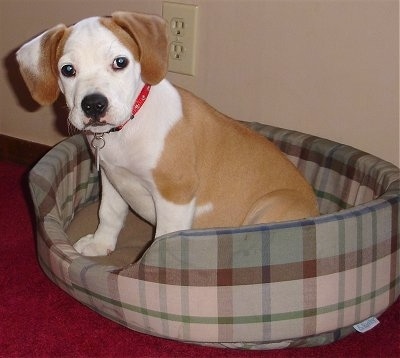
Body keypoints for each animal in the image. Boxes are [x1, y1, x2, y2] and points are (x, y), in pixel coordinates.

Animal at [16, 11, 318, 258]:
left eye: (120, 62)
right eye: (68, 70)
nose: (93, 104)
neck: (126, 130)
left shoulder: (176, 194)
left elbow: (164, 239)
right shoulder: (112, 178)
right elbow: (109, 213)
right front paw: (101, 244)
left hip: (271, 206)